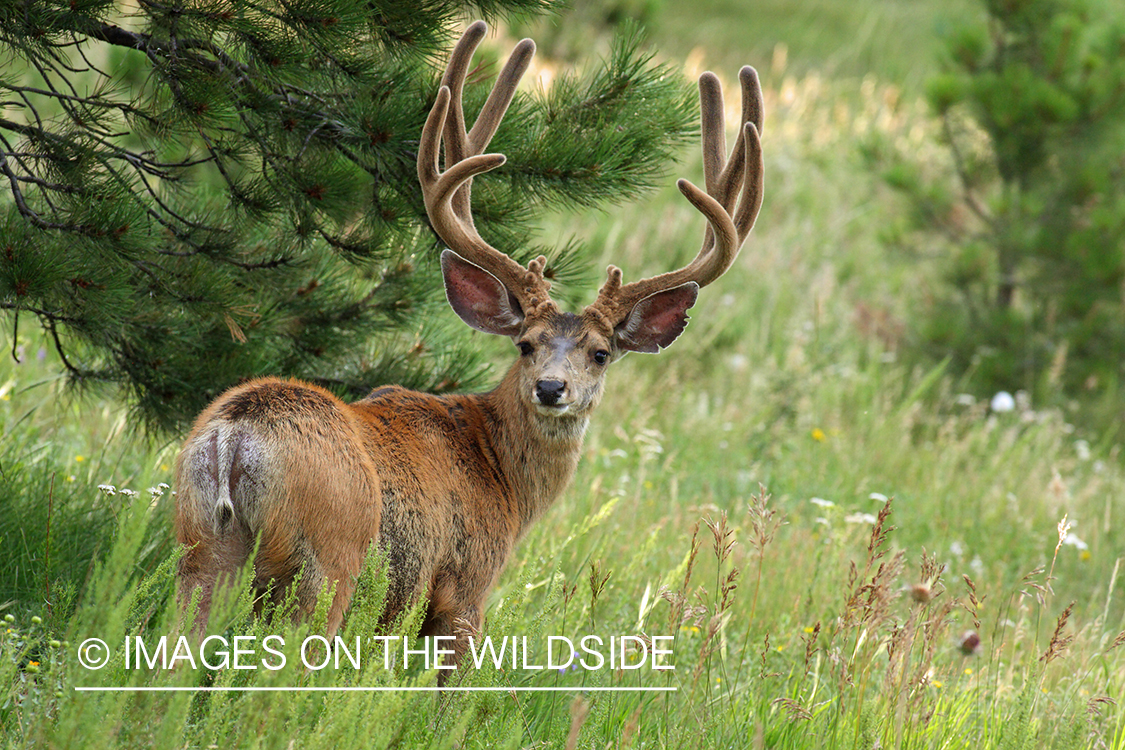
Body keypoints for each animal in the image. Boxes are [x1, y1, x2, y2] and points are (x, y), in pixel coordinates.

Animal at [174, 20, 763, 671]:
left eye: (600, 352)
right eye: (526, 344)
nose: (551, 388)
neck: (499, 473)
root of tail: (235, 438)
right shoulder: (465, 586)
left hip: (200, 546)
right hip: (325, 563)